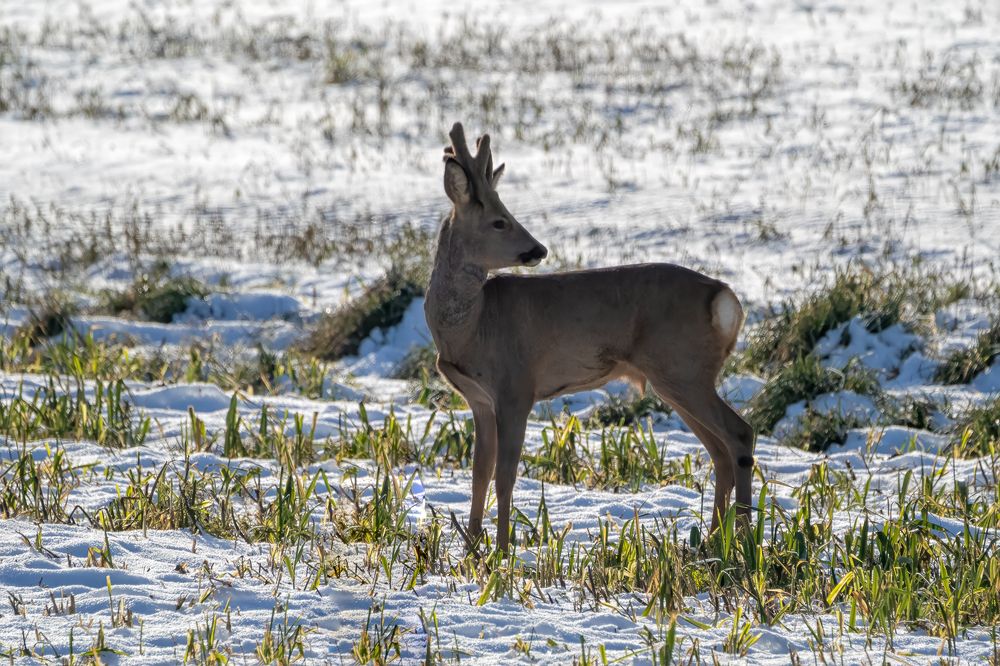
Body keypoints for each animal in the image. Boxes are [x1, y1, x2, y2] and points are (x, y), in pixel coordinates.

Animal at [424, 122, 755, 553]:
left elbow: (505, 476)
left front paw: (501, 552)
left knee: (739, 435)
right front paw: (470, 549)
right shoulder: (479, 399)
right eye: (500, 221)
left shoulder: (516, 386)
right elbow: (479, 474)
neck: (472, 325)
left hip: (683, 368)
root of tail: (724, 298)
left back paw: (744, 542)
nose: (538, 249)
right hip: (680, 377)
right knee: (719, 451)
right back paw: (713, 542)